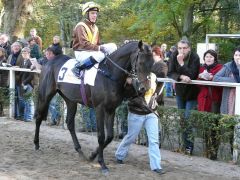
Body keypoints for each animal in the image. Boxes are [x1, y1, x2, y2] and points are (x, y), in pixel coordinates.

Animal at [34, 39, 154, 173]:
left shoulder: (111, 109)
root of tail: (50, 61)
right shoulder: (99, 108)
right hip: (45, 95)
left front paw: (92, 155)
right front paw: (102, 164)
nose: (145, 88)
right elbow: (101, 136)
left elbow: (110, 136)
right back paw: (36, 144)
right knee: (39, 117)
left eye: (152, 63)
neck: (110, 73)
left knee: (70, 123)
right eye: (141, 62)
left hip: (70, 100)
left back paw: (80, 151)